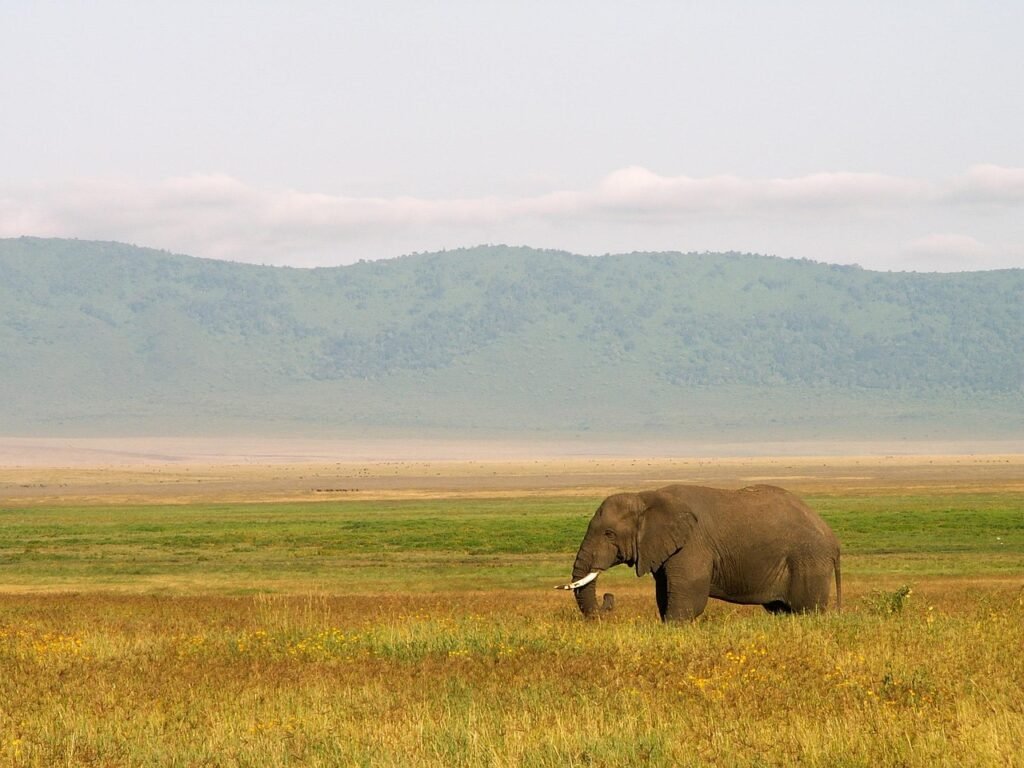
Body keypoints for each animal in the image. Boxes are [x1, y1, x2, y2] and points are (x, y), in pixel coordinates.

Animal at [556, 484, 841, 621]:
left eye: (609, 534)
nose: (609, 597)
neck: (646, 496)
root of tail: (832, 538)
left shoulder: (693, 544)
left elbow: (687, 599)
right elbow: (664, 595)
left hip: (808, 560)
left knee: (806, 610)